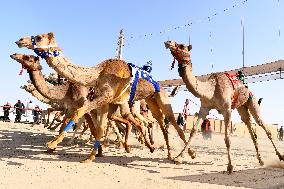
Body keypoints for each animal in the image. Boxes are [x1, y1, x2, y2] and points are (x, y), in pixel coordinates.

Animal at [14, 32, 185, 161]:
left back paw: (179, 154)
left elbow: (78, 116)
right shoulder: (102, 102)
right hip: (147, 101)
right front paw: (91, 155)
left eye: (39, 37)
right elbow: (97, 126)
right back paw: (155, 148)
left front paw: (52, 144)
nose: (19, 41)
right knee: (155, 124)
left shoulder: (97, 100)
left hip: (160, 98)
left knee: (169, 124)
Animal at [164, 39, 284, 173]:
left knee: (263, 126)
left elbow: (227, 139)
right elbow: (193, 131)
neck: (211, 89)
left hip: (252, 101)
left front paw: (230, 166)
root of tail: (248, 90)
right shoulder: (204, 107)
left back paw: (280, 156)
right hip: (241, 108)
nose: (168, 42)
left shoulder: (227, 109)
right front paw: (179, 157)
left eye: (181, 46)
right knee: (249, 126)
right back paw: (261, 160)